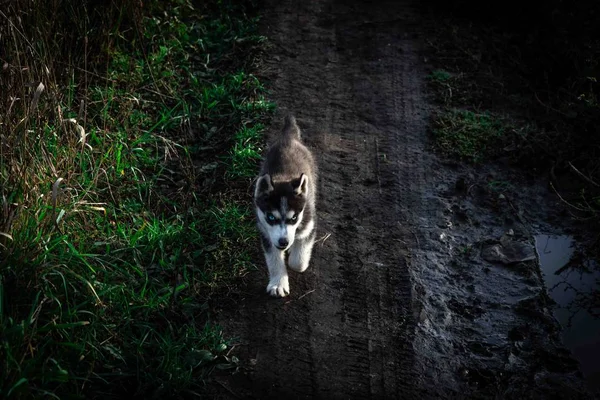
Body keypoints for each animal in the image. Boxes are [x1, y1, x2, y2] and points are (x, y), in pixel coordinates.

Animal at [254, 115, 318, 296]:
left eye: (294, 218)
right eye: (270, 217)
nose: (283, 242)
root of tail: (288, 137)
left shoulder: (309, 225)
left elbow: (298, 263)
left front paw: (294, 257)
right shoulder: (266, 232)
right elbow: (274, 260)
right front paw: (278, 284)